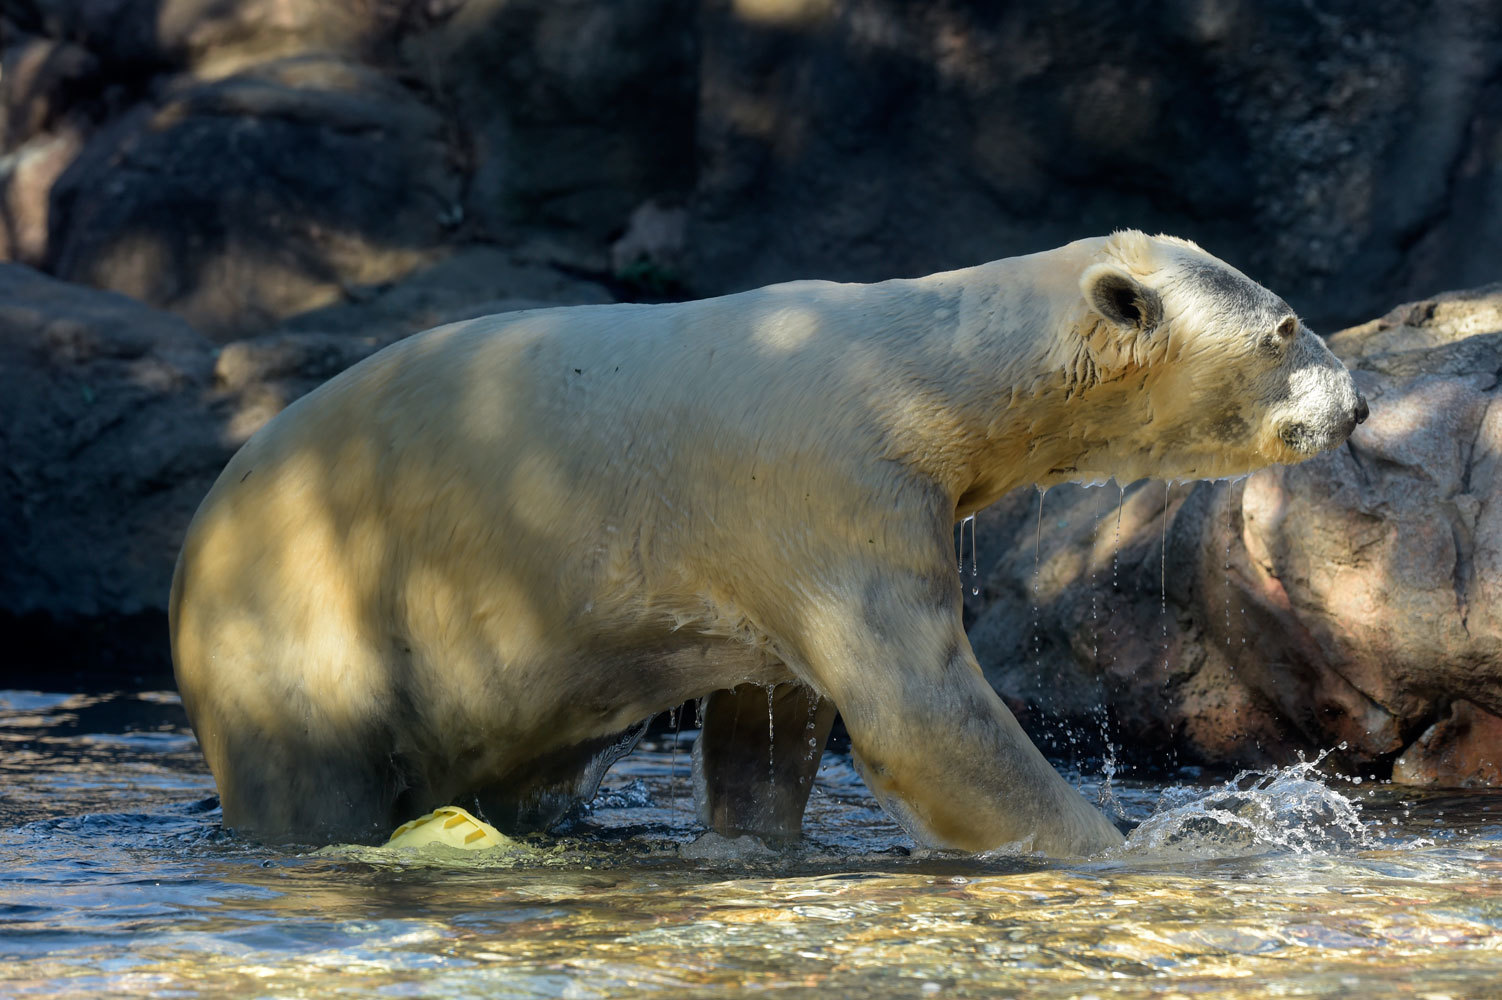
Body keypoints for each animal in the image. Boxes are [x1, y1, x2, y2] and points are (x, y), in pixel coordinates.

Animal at [170, 229, 1369, 852]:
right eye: (1283, 328)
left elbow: (771, 715)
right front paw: (1137, 851)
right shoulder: (829, 481)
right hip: (306, 616)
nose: (1356, 407)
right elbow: (922, 717)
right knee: (311, 766)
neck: (916, 378)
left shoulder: (772, 542)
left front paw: (751, 842)